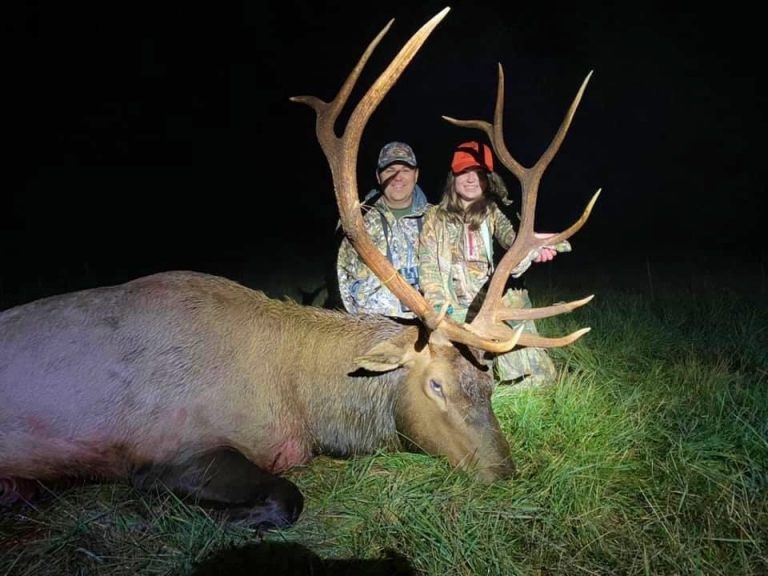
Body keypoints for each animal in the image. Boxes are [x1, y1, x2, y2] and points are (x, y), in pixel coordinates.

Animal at [0, 7, 599, 529]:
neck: (300, 406)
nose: (505, 471)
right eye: (435, 386)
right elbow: (286, 497)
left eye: (487, 385)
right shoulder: (169, 445)